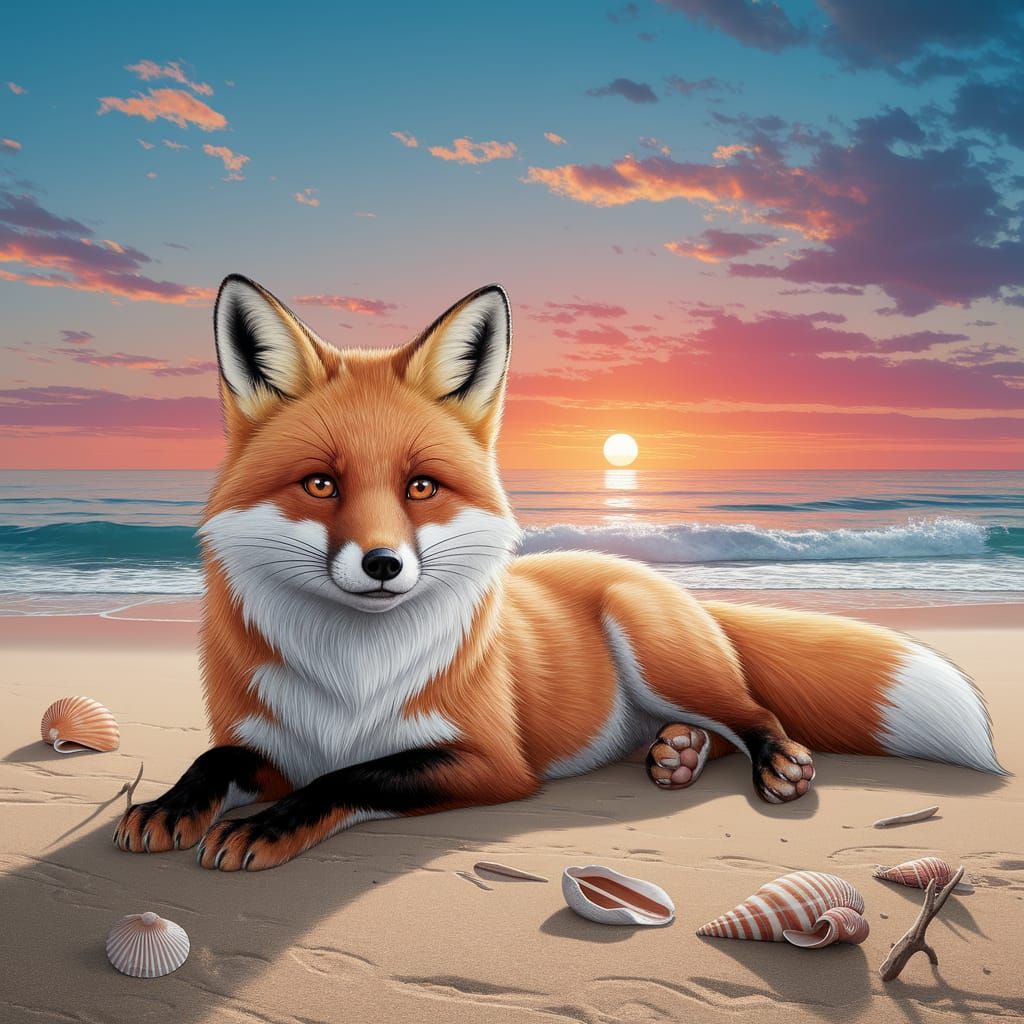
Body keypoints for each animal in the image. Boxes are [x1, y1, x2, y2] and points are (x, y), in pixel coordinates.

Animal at [113, 275, 1005, 871]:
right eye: (321, 485)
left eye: (420, 487)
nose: (383, 564)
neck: (352, 676)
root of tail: (639, 567)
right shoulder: (269, 742)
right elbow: (216, 762)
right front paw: (167, 806)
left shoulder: (485, 759)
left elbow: (347, 777)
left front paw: (265, 826)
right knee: (708, 731)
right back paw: (678, 756)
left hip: (660, 651)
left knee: (752, 710)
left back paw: (766, 759)